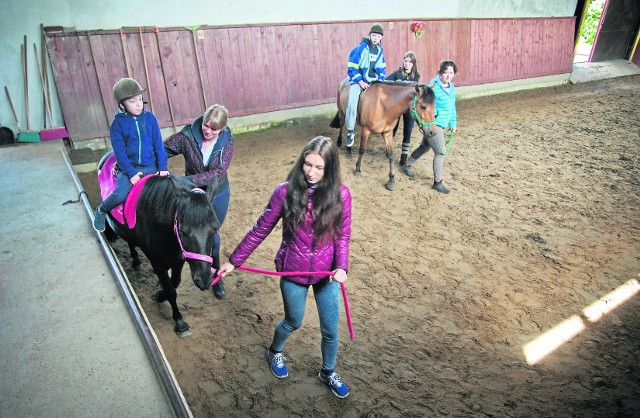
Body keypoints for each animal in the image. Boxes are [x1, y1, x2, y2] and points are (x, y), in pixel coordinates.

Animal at [102, 171, 218, 334]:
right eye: (183, 231)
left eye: (216, 228)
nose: (205, 280)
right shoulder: (156, 261)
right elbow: (170, 290)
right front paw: (179, 321)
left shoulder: (179, 259)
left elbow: (174, 283)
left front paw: (159, 293)